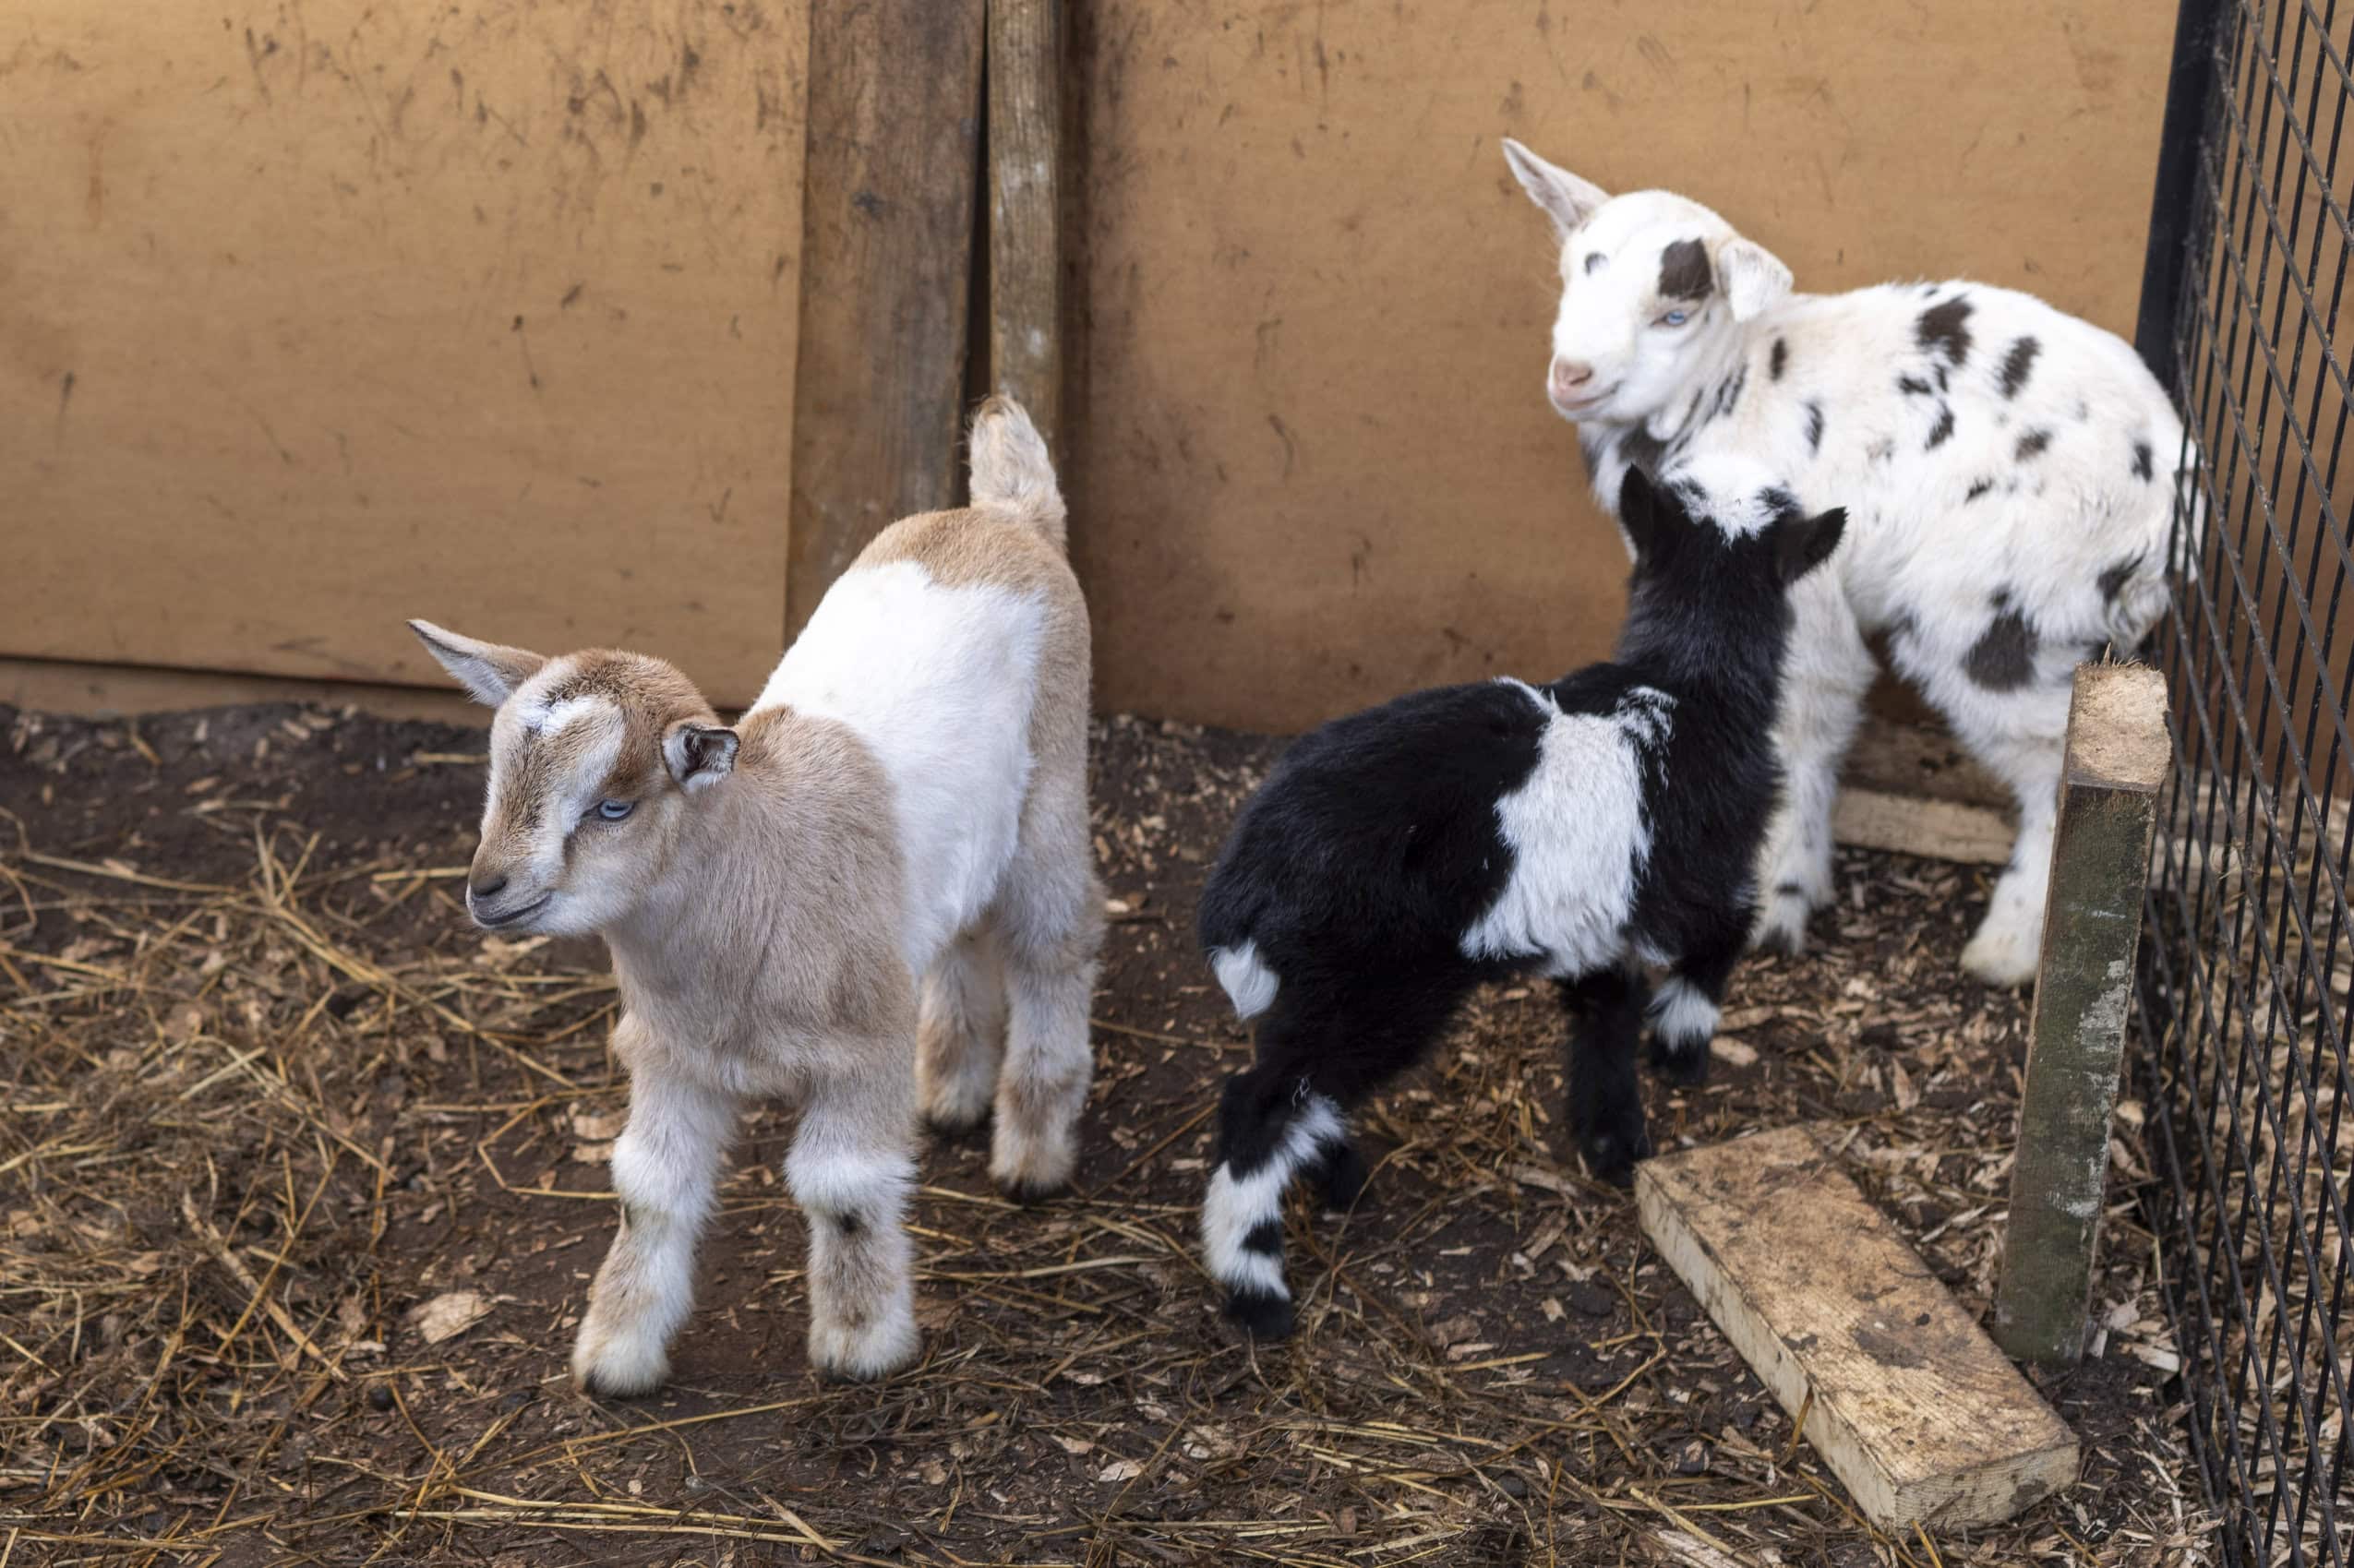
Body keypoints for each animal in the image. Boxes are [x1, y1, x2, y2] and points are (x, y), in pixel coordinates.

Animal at [409, 396, 1103, 1390]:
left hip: (1050, 785)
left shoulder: (859, 1051)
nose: (488, 887)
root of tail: (1007, 512)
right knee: (962, 929)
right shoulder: (671, 1054)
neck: (756, 879)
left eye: (613, 805)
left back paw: (1033, 1151)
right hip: (949, 859)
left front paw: (860, 1344)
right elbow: (646, 1188)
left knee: (1055, 938)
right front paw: (616, 1352)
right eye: (498, 776)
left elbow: (843, 1191)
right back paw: (949, 1090)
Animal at [1195, 458, 1846, 1337]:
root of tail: (1253, 869)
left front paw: (1611, 1139)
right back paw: (1256, 1290)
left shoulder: (1596, 915)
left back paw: (1338, 1174)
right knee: (1257, 1103)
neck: (1684, 689)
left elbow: (1606, 1008)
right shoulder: (1699, 876)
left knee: (1294, 1077)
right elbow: (1719, 943)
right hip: (1376, 982)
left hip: (1320, 988)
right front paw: (1681, 1051)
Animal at [1501, 138, 2196, 986]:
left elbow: (1798, 722)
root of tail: (2171, 484)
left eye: (1674, 315)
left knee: (2055, 763)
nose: (1573, 376)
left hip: (1996, 599)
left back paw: (2010, 947)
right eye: (1577, 270)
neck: (1726, 387)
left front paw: (1772, 898)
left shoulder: (1801, 595)